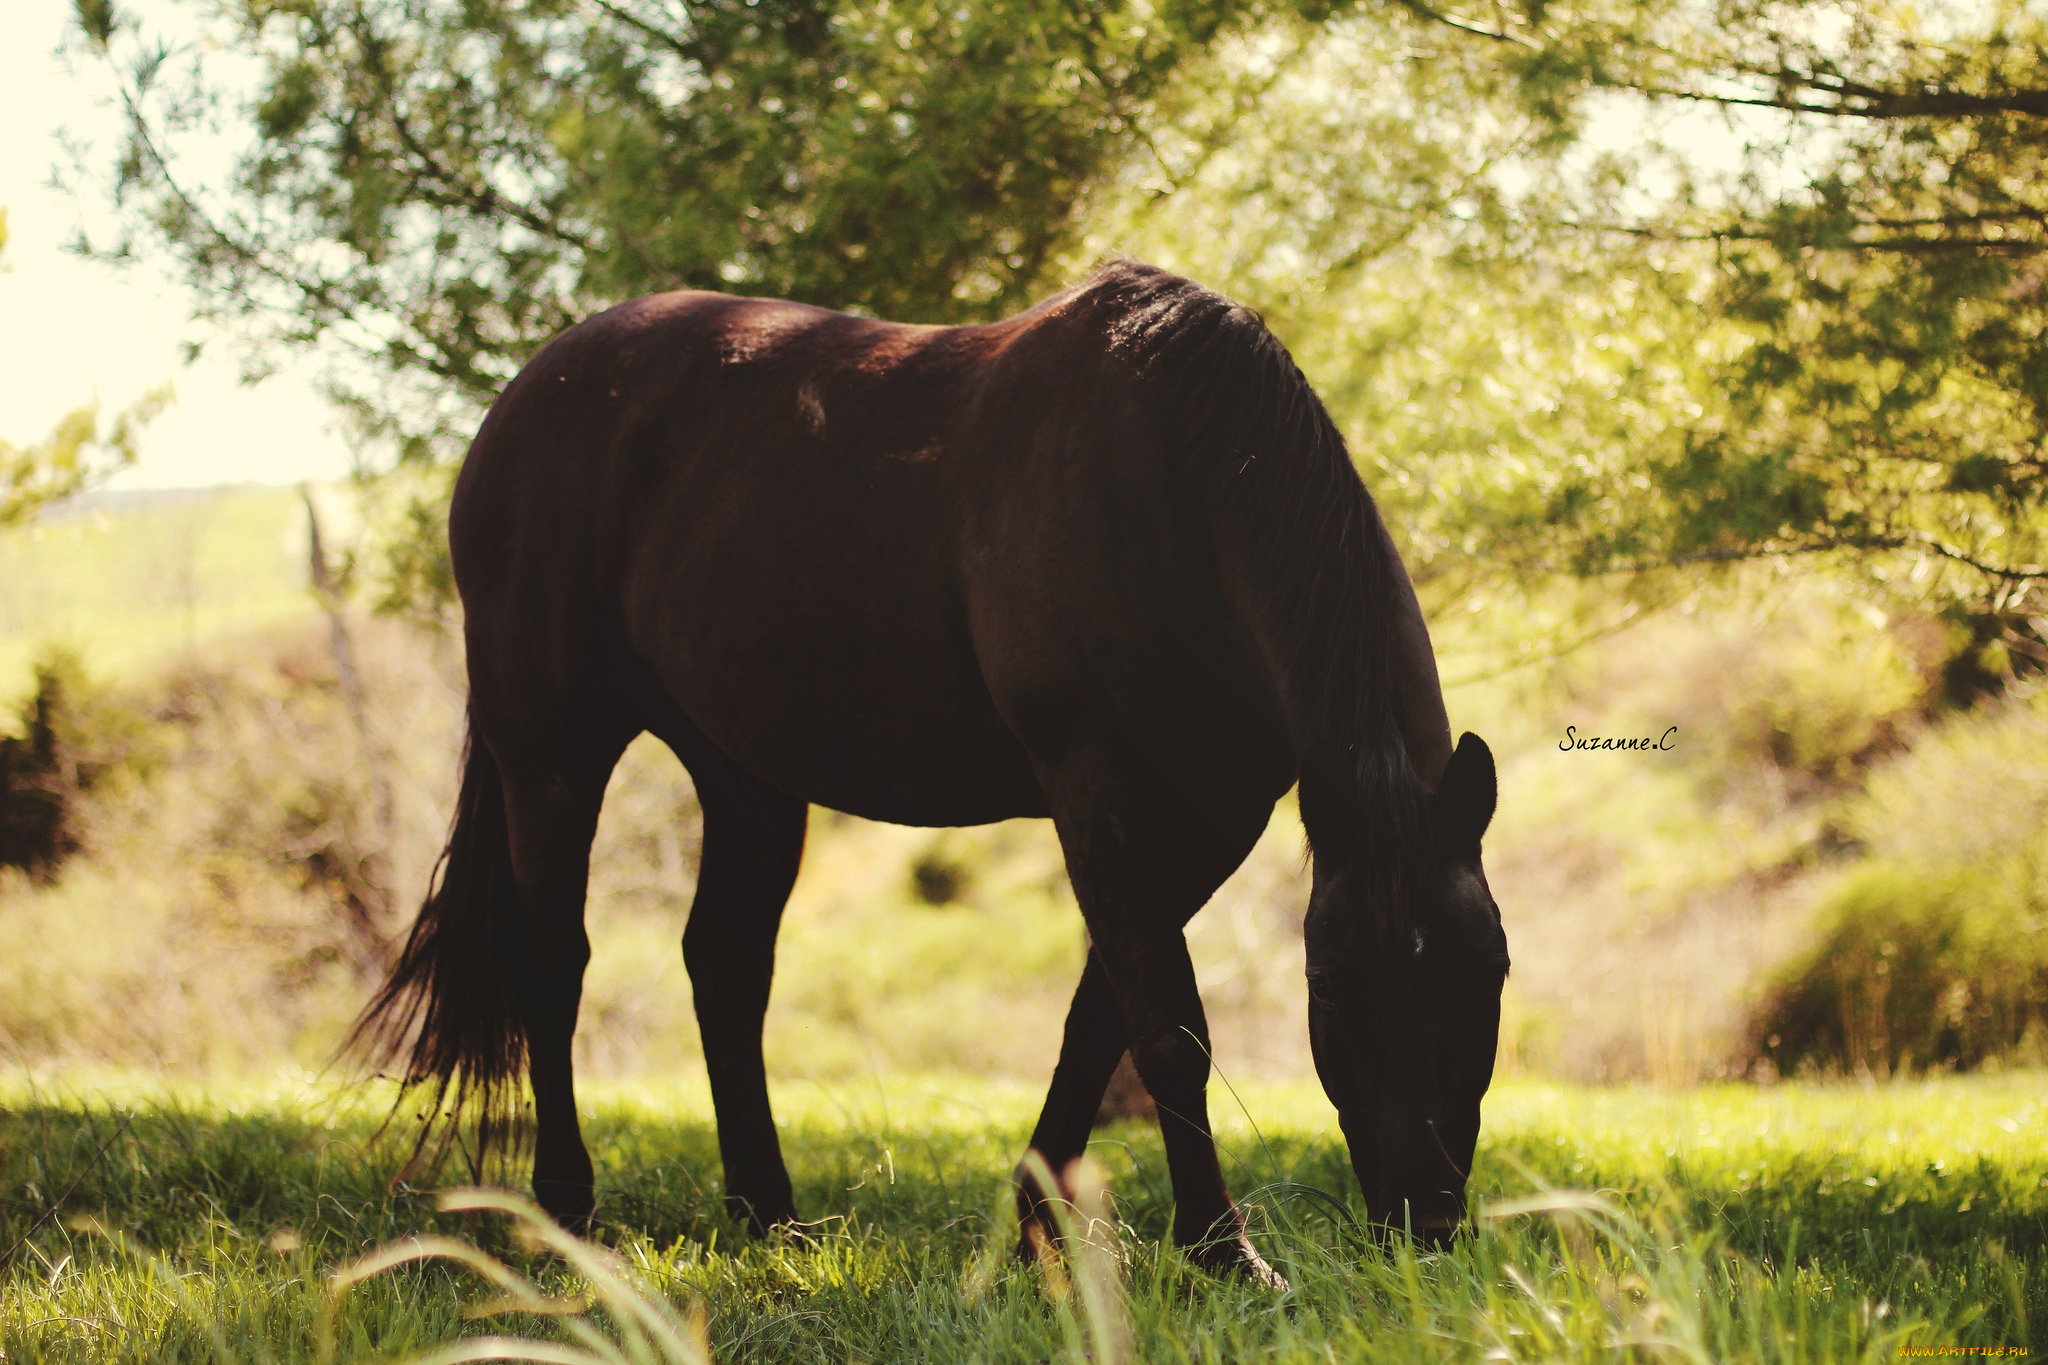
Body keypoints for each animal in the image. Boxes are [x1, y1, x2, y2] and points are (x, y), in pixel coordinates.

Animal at [348, 258, 1507, 1293]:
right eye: (1330, 981)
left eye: (1489, 971)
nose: (1425, 1220)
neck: (1170, 488)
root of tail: (524, 397)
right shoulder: (1101, 792)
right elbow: (1168, 1030)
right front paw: (1226, 1255)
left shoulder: (1205, 820)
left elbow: (1101, 1017)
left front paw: (1032, 1234)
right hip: (550, 749)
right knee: (555, 962)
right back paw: (569, 1217)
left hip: (743, 772)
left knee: (724, 964)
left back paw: (771, 1218)